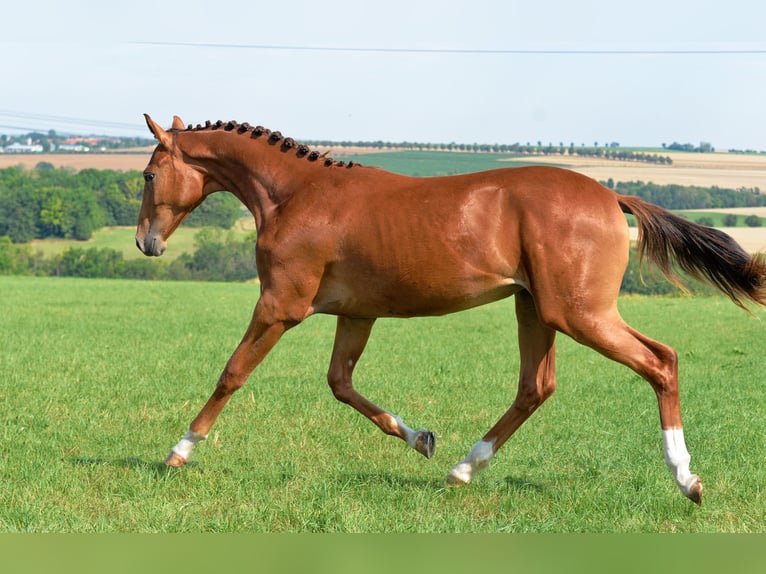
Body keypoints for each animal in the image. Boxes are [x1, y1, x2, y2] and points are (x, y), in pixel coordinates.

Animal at [136, 114, 766, 505]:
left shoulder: (279, 307)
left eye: (148, 173)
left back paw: (687, 479)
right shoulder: (355, 314)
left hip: (578, 313)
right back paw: (462, 467)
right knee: (536, 387)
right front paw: (419, 438)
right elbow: (341, 383)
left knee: (660, 361)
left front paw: (177, 453)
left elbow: (232, 373)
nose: (147, 243)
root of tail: (612, 195)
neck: (295, 196)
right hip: (537, 309)